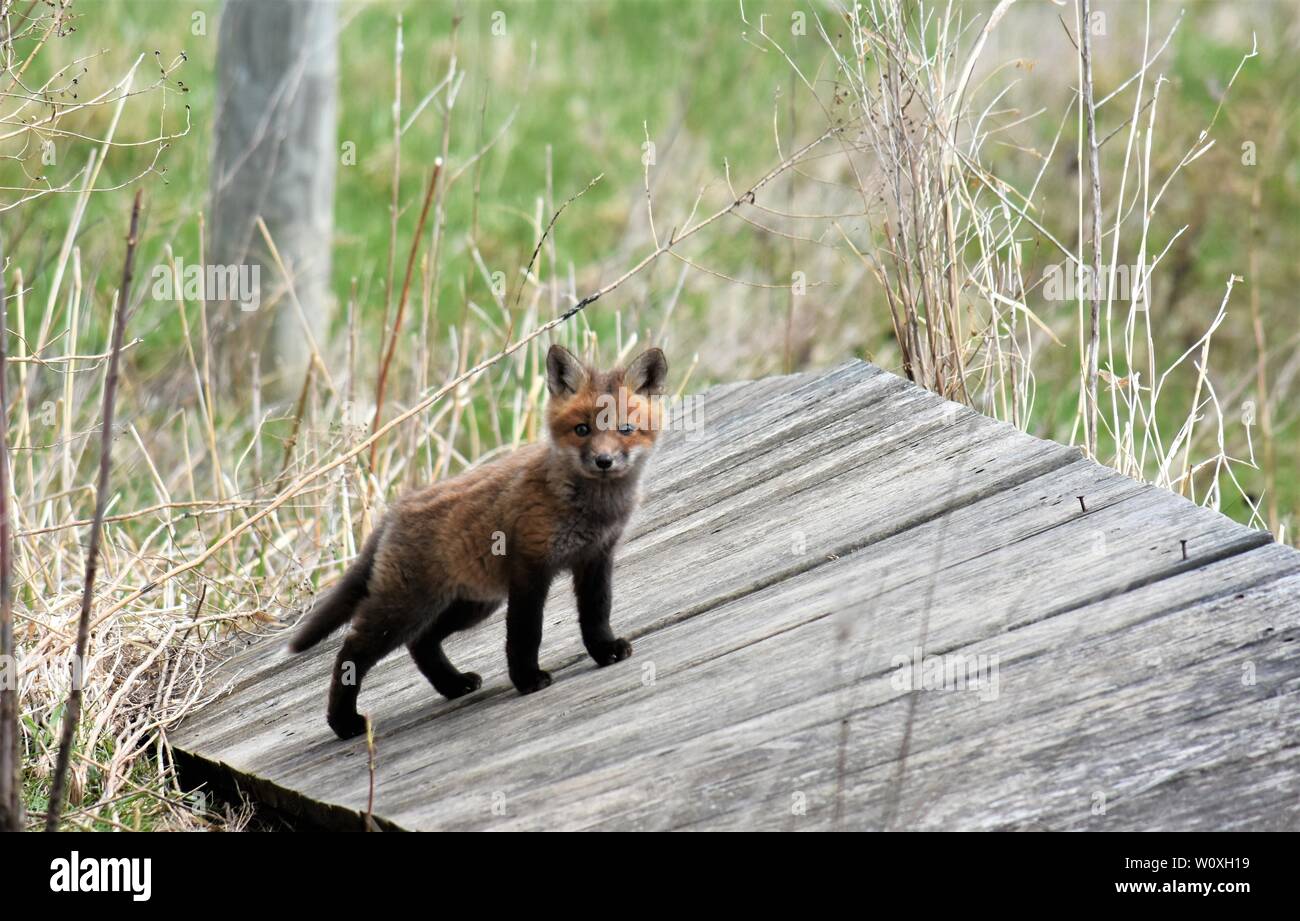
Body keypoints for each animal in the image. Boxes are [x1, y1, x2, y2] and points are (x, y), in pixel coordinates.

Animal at [288, 346, 665, 738]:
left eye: (625, 429)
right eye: (582, 429)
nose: (604, 461)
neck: (590, 506)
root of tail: (398, 509)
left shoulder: (596, 559)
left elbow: (596, 614)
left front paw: (603, 651)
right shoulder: (529, 571)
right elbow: (525, 633)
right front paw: (527, 679)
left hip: (471, 604)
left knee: (420, 642)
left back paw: (453, 685)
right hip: (407, 608)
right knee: (351, 652)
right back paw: (344, 723)